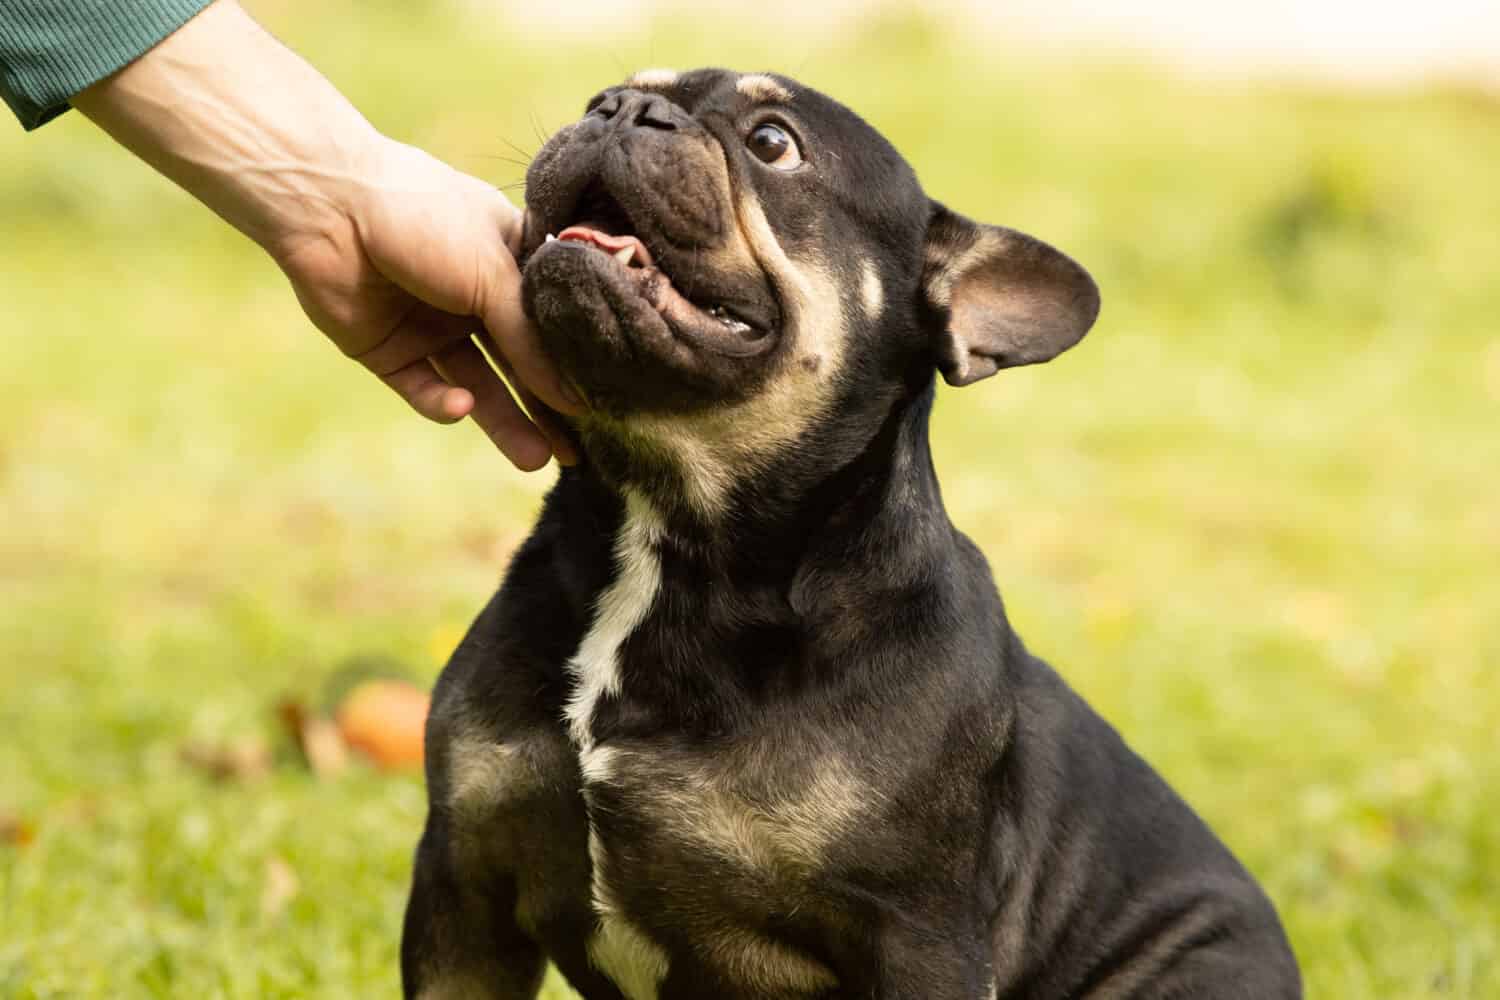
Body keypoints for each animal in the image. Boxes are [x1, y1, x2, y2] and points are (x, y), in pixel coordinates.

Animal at [399, 66, 1302, 995]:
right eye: (599, 99)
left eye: (772, 143)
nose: (622, 112)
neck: (666, 525)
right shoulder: (465, 887)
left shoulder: (917, 936)